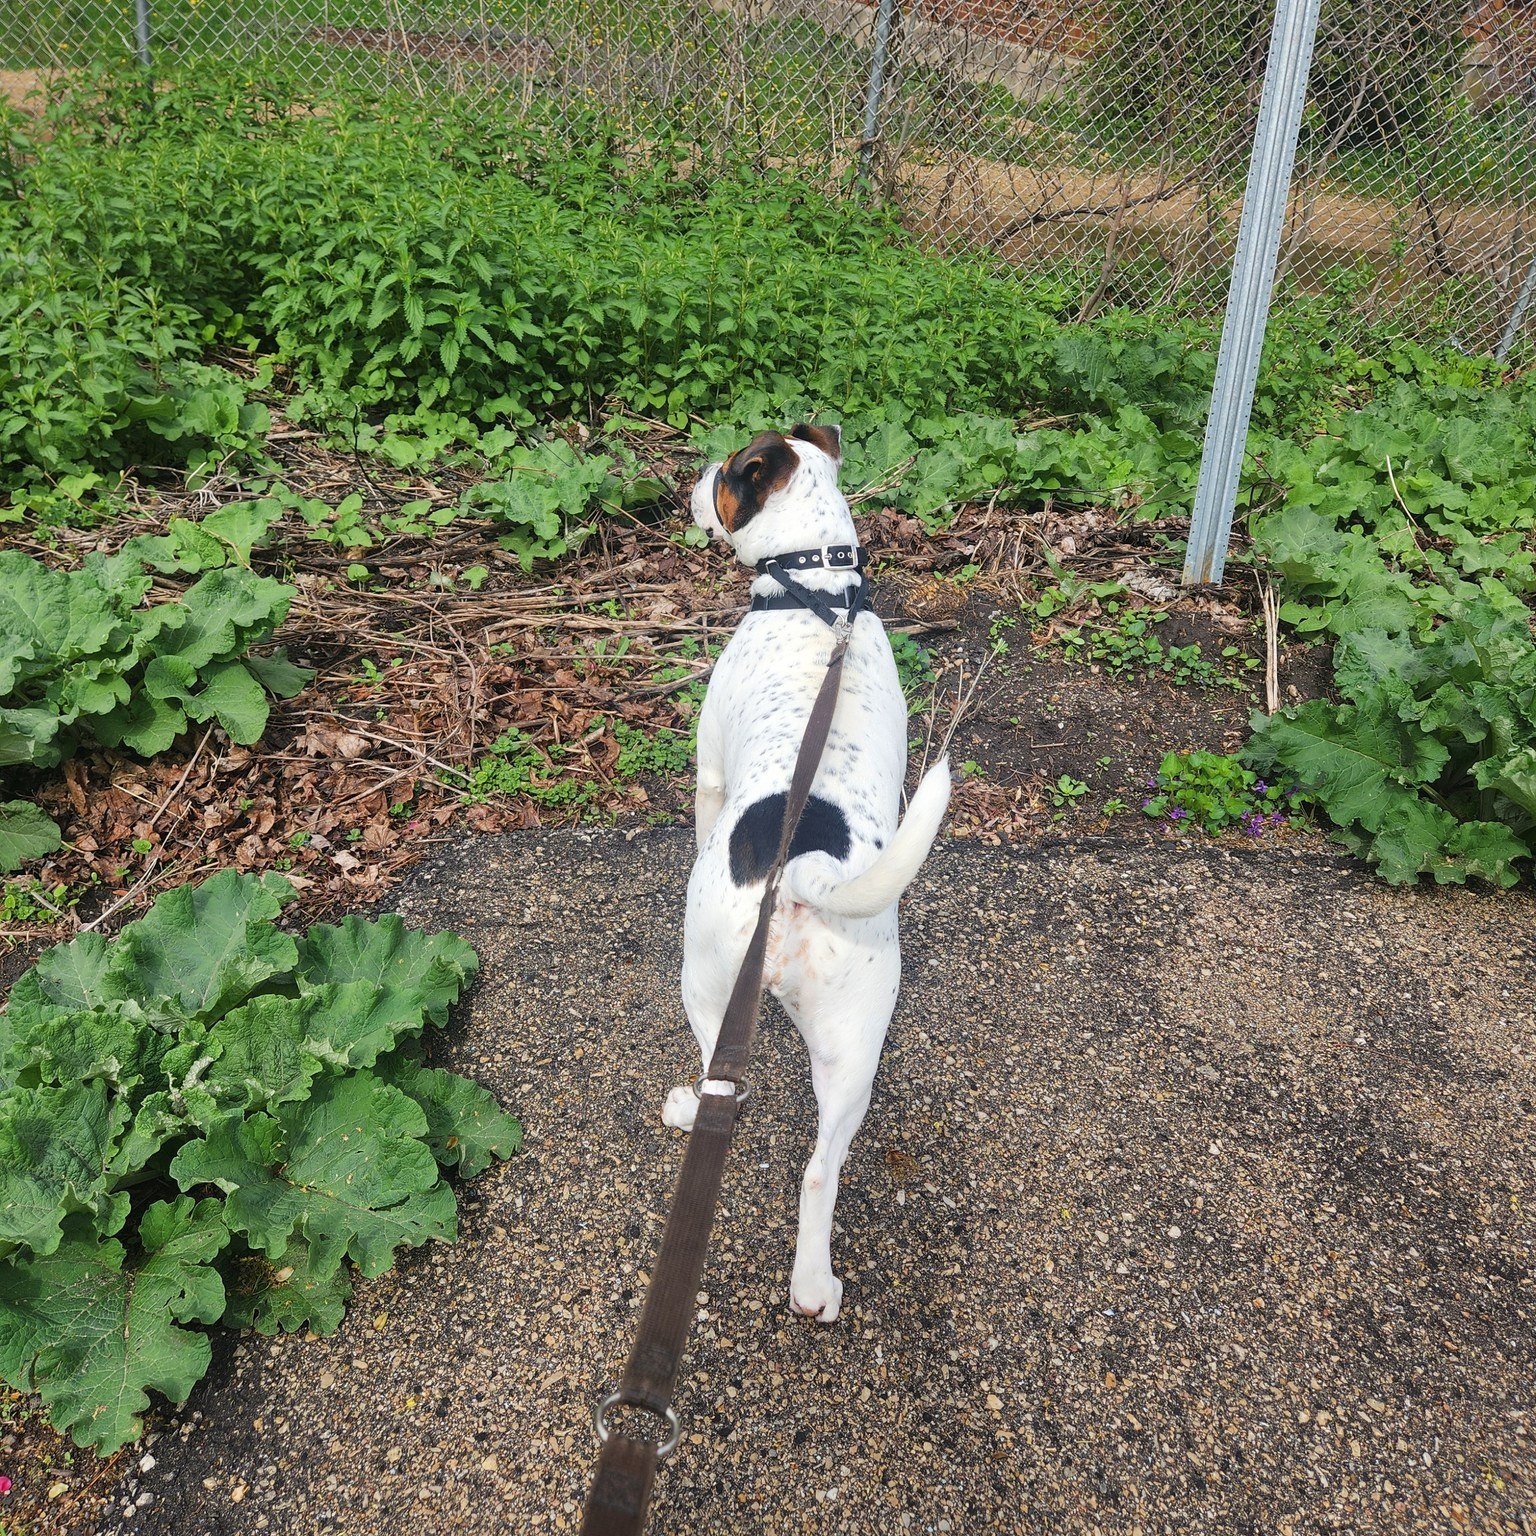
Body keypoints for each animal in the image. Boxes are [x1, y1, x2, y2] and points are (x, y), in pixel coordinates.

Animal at [669, 423, 952, 1320]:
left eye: (726, 474)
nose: (689, 481)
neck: (817, 588)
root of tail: (798, 878)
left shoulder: (708, 770)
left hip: (707, 989)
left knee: (724, 1090)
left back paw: (687, 1111)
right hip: (856, 1045)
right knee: (821, 1170)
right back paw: (813, 1285)